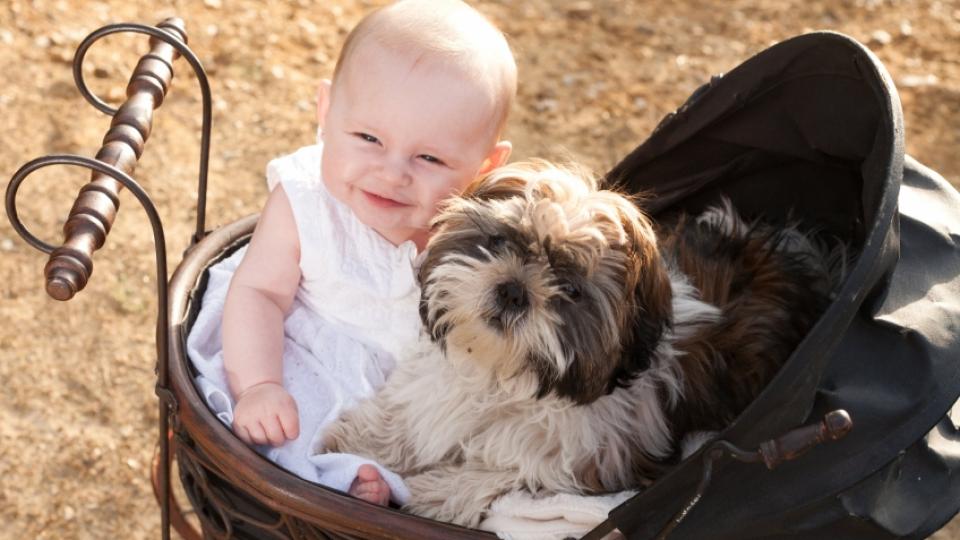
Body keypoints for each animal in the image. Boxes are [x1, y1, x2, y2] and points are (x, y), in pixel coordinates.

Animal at [318, 160, 836, 528]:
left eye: (570, 289)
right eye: (500, 241)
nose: (513, 290)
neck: (505, 376)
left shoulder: (596, 460)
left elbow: (509, 472)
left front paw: (433, 492)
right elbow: (410, 412)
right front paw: (361, 442)